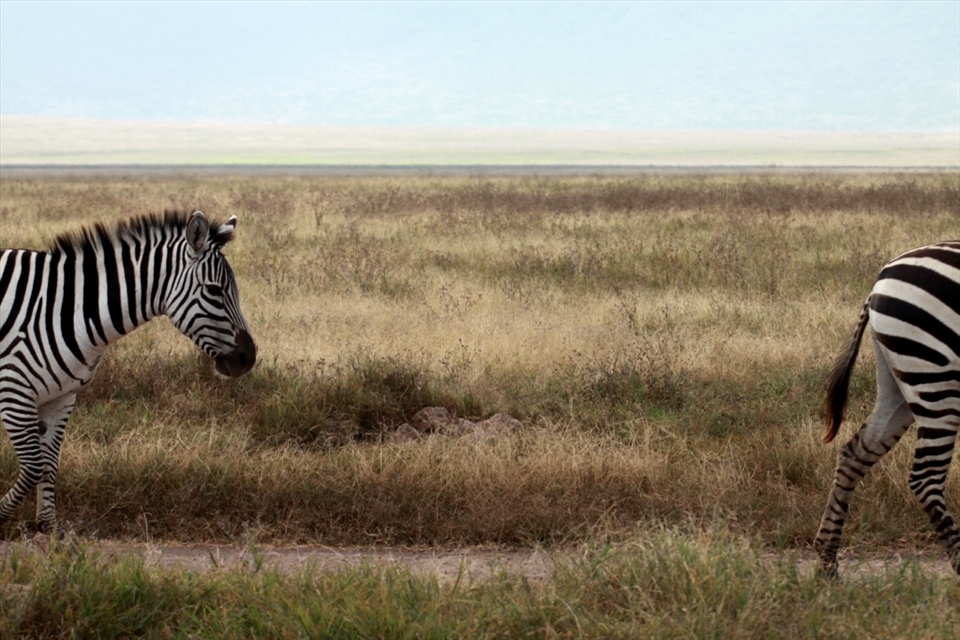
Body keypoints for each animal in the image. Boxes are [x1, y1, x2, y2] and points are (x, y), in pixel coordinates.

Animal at [1, 210, 256, 535]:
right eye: (214, 290)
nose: (248, 358)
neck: (67, 309)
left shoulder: (61, 398)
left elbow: (48, 464)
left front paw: (48, 527)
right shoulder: (14, 392)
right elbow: (34, 466)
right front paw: (1, 517)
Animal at [814, 240, 959, 578]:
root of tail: (881, 280)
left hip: (900, 380)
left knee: (856, 452)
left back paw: (827, 563)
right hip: (936, 377)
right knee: (926, 478)